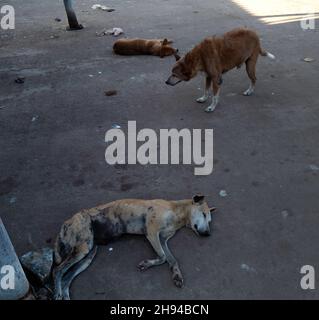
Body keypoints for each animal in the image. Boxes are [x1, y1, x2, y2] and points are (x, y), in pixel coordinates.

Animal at [52, 195, 218, 300]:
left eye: (209, 220)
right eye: (204, 214)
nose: (208, 234)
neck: (178, 214)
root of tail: (66, 222)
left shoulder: (163, 239)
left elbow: (172, 260)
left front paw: (177, 275)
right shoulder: (151, 231)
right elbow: (163, 257)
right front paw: (147, 264)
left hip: (88, 255)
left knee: (66, 278)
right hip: (83, 247)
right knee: (57, 270)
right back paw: (57, 292)